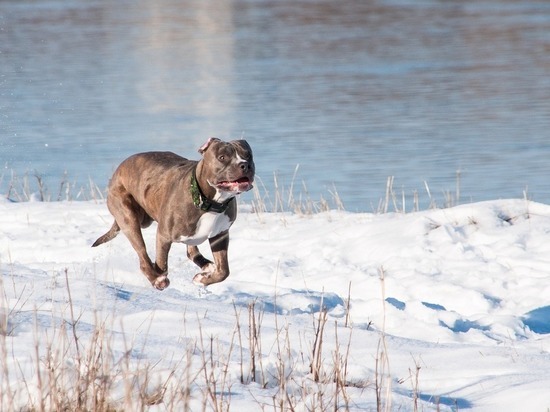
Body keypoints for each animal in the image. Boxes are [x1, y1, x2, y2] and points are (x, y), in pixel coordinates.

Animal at [93, 138, 256, 290]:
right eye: (222, 157)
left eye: (248, 155)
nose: (245, 165)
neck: (209, 201)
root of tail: (119, 169)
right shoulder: (164, 235)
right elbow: (161, 263)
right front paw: (160, 277)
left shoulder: (220, 235)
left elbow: (224, 271)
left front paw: (202, 279)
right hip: (128, 218)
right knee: (142, 255)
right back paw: (156, 279)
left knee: (191, 251)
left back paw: (206, 266)